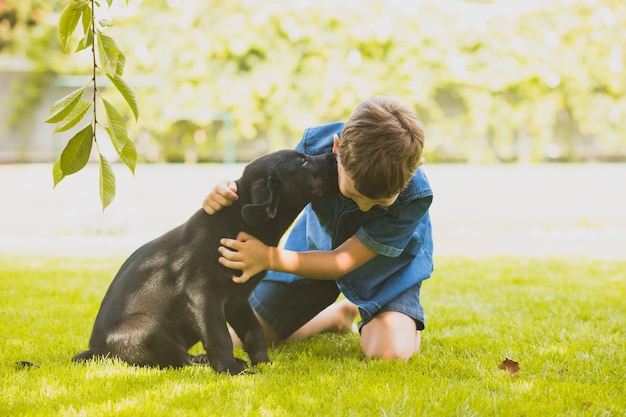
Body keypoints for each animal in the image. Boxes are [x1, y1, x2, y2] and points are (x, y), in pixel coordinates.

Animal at [72, 150, 336, 374]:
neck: (240, 222)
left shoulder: (237, 299)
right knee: (180, 361)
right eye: (303, 161)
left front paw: (264, 363)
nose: (334, 155)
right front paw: (231, 371)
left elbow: (254, 332)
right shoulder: (202, 295)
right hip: (146, 327)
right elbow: (220, 337)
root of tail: (94, 351)